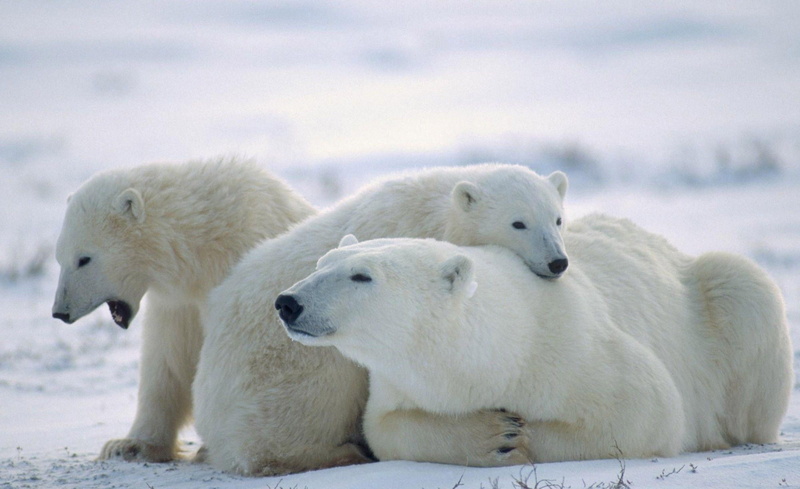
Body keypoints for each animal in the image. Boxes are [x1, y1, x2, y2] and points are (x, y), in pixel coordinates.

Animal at [51, 157, 315, 463]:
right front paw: (128, 445)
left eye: (84, 259)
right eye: (59, 258)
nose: (60, 312)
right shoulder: (178, 304)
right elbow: (167, 361)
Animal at [192, 163, 569, 475]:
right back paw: (341, 453)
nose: (557, 262)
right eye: (518, 222)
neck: (437, 211)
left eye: (557, 219)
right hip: (280, 373)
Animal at [276, 220, 793, 466]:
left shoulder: (574, 349)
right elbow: (386, 428)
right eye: (322, 262)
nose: (288, 302)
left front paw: (519, 435)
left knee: (743, 285)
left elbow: (647, 411)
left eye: (361, 276)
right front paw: (495, 436)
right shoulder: (398, 383)